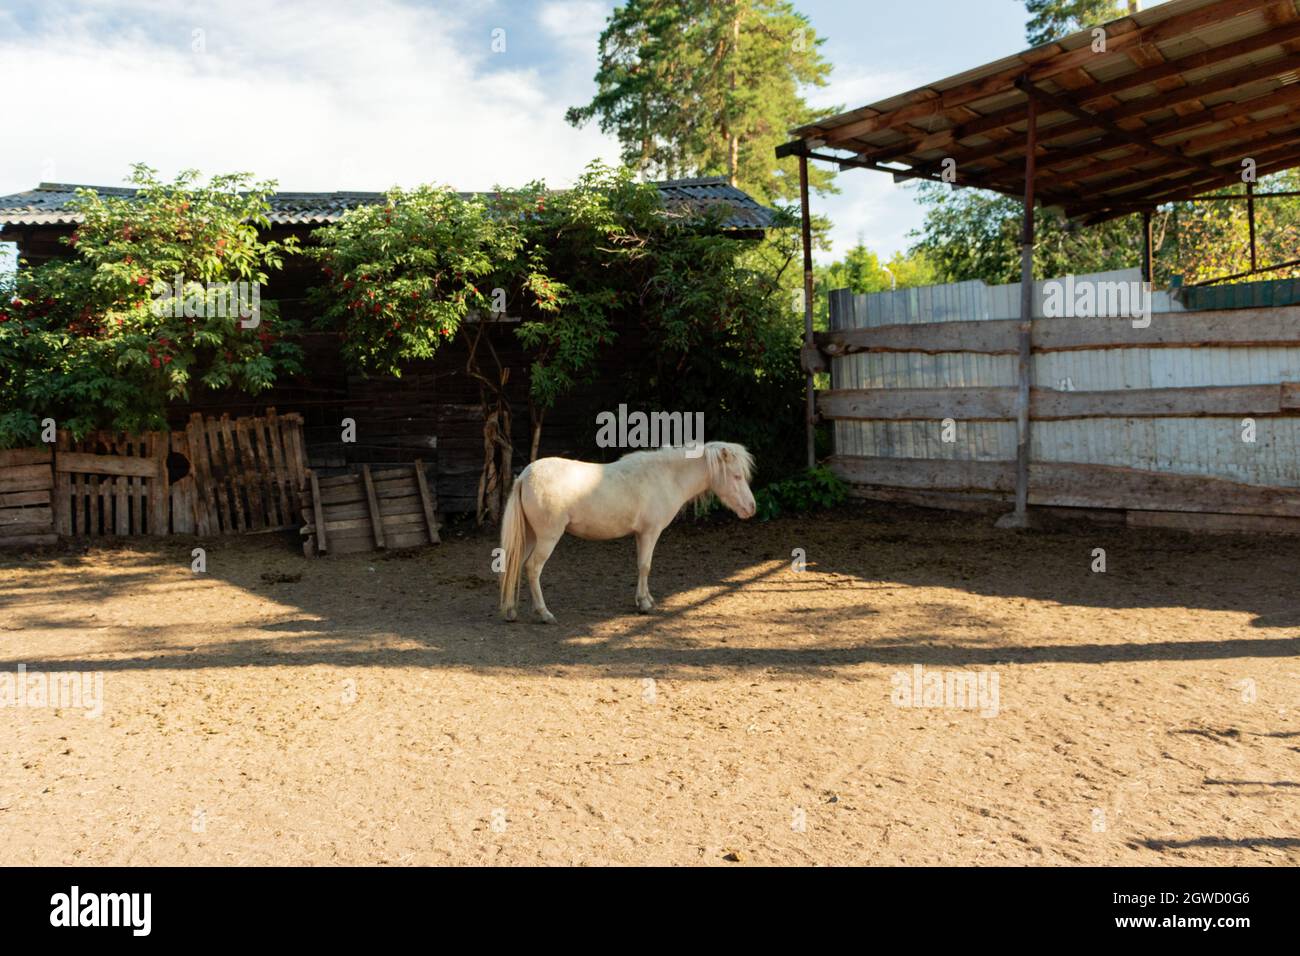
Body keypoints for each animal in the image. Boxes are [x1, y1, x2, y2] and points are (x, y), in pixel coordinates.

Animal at [499, 442, 759, 621]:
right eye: (736, 476)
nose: (751, 508)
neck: (666, 476)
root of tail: (525, 476)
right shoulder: (650, 533)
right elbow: (645, 566)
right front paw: (644, 604)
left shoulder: (640, 535)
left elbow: (641, 566)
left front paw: (646, 598)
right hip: (547, 538)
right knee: (533, 568)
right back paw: (544, 613)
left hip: (530, 537)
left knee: (514, 564)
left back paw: (510, 610)